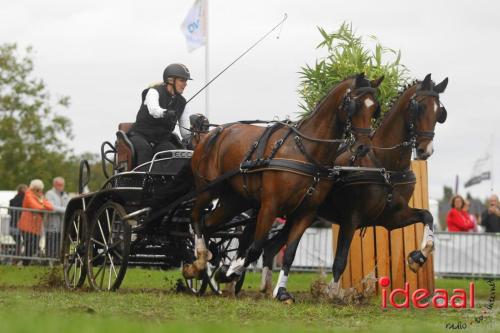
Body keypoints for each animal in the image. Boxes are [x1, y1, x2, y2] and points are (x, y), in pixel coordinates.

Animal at [184, 74, 382, 302]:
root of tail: (211, 134)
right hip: (207, 190)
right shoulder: (270, 206)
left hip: (234, 200)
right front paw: (230, 272)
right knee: (195, 217)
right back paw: (198, 262)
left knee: (208, 223)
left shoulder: (305, 213)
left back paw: (204, 266)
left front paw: (281, 292)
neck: (305, 152)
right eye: (353, 105)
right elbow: (255, 249)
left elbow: (289, 254)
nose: (363, 147)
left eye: (374, 108)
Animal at [260, 73, 448, 298]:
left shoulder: (392, 218)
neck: (385, 166)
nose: (424, 150)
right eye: (419, 107)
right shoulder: (351, 218)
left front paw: (418, 257)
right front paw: (332, 293)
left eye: (439, 112)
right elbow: (340, 260)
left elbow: (427, 216)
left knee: (270, 247)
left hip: (301, 214)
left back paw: (267, 287)